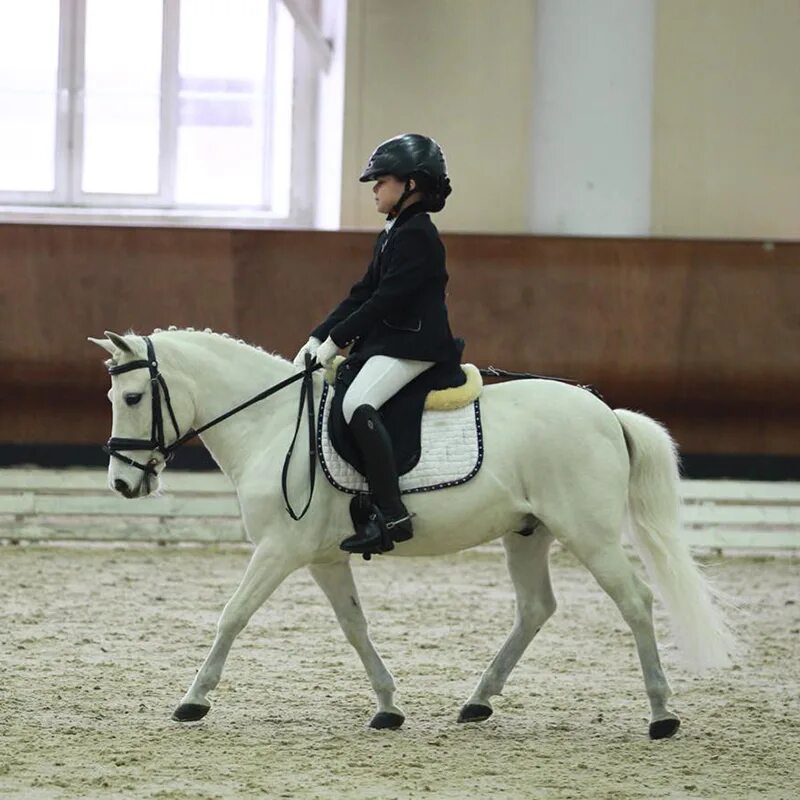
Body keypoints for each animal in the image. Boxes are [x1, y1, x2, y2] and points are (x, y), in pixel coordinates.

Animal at [90, 328, 736, 740]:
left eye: (133, 396)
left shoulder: (279, 549)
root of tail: (606, 413)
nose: (122, 482)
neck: (271, 425)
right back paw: (478, 701)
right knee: (535, 608)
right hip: (528, 533)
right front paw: (387, 707)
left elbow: (232, 615)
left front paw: (193, 700)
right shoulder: (323, 558)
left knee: (635, 601)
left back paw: (661, 714)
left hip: (590, 534)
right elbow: (354, 628)